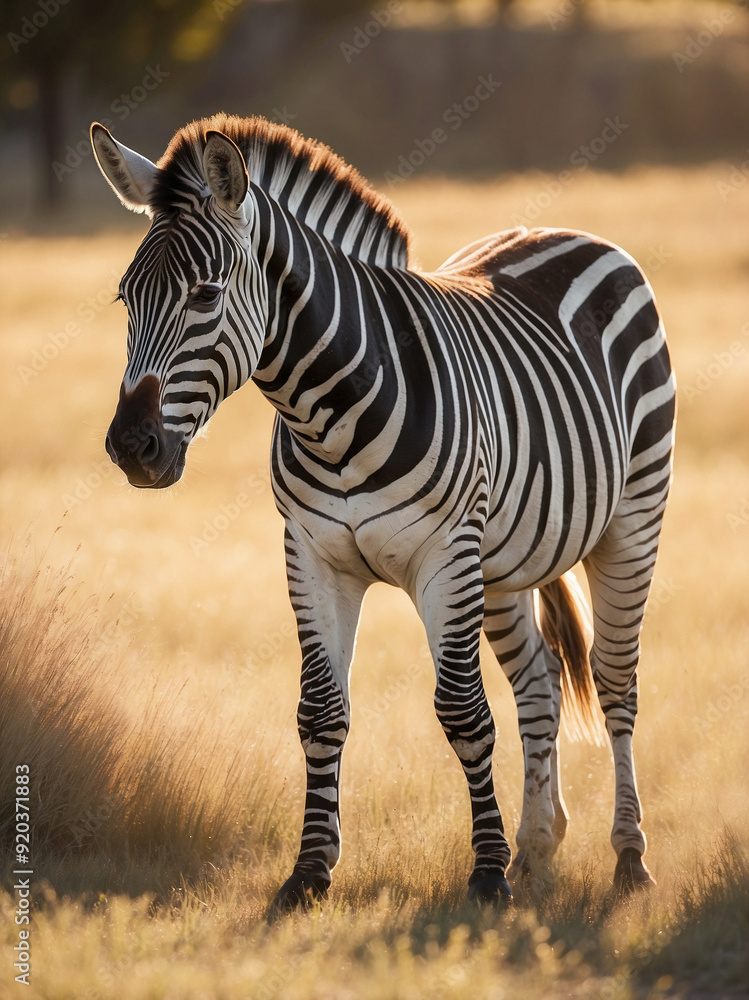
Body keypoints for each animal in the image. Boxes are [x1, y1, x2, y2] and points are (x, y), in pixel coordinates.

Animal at [91, 113, 675, 910]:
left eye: (205, 296)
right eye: (125, 299)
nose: (131, 447)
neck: (327, 415)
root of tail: (567, 231)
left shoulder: (444, 558)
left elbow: (462, 712)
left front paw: (485, 876)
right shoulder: (311, 557)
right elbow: (320, 711)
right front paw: (309, 872)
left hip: (629, 522)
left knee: (615, 682)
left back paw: (628, 857)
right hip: (503, 561)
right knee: (540, 683)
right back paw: (536, 848)